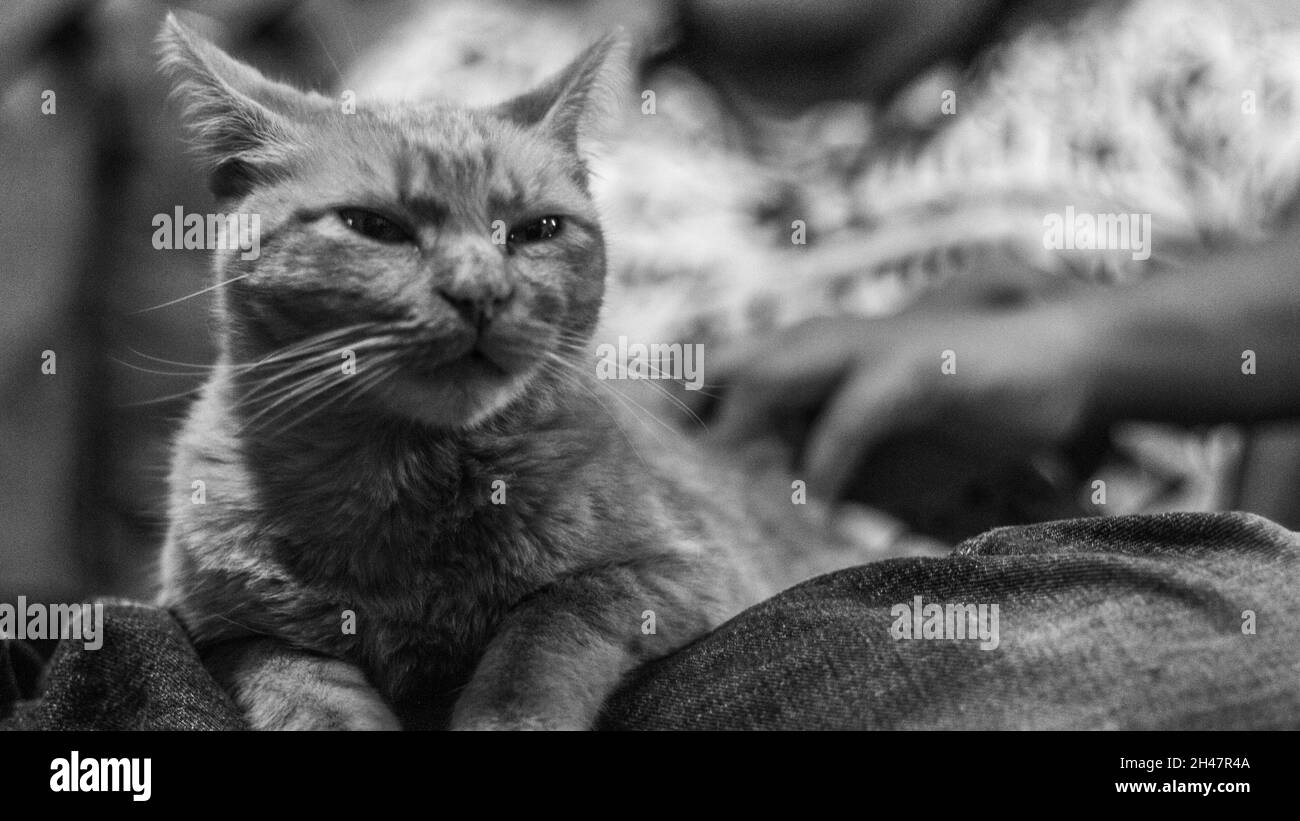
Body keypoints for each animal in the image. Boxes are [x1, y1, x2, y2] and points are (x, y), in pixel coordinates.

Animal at [154, 12, 863, 732]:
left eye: (536, 230)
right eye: (373, 225)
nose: (481, 293)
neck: (411, 477)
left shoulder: (680, 572)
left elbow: (550, 619)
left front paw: (508, 712)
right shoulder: (226, 630)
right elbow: (302, 682)